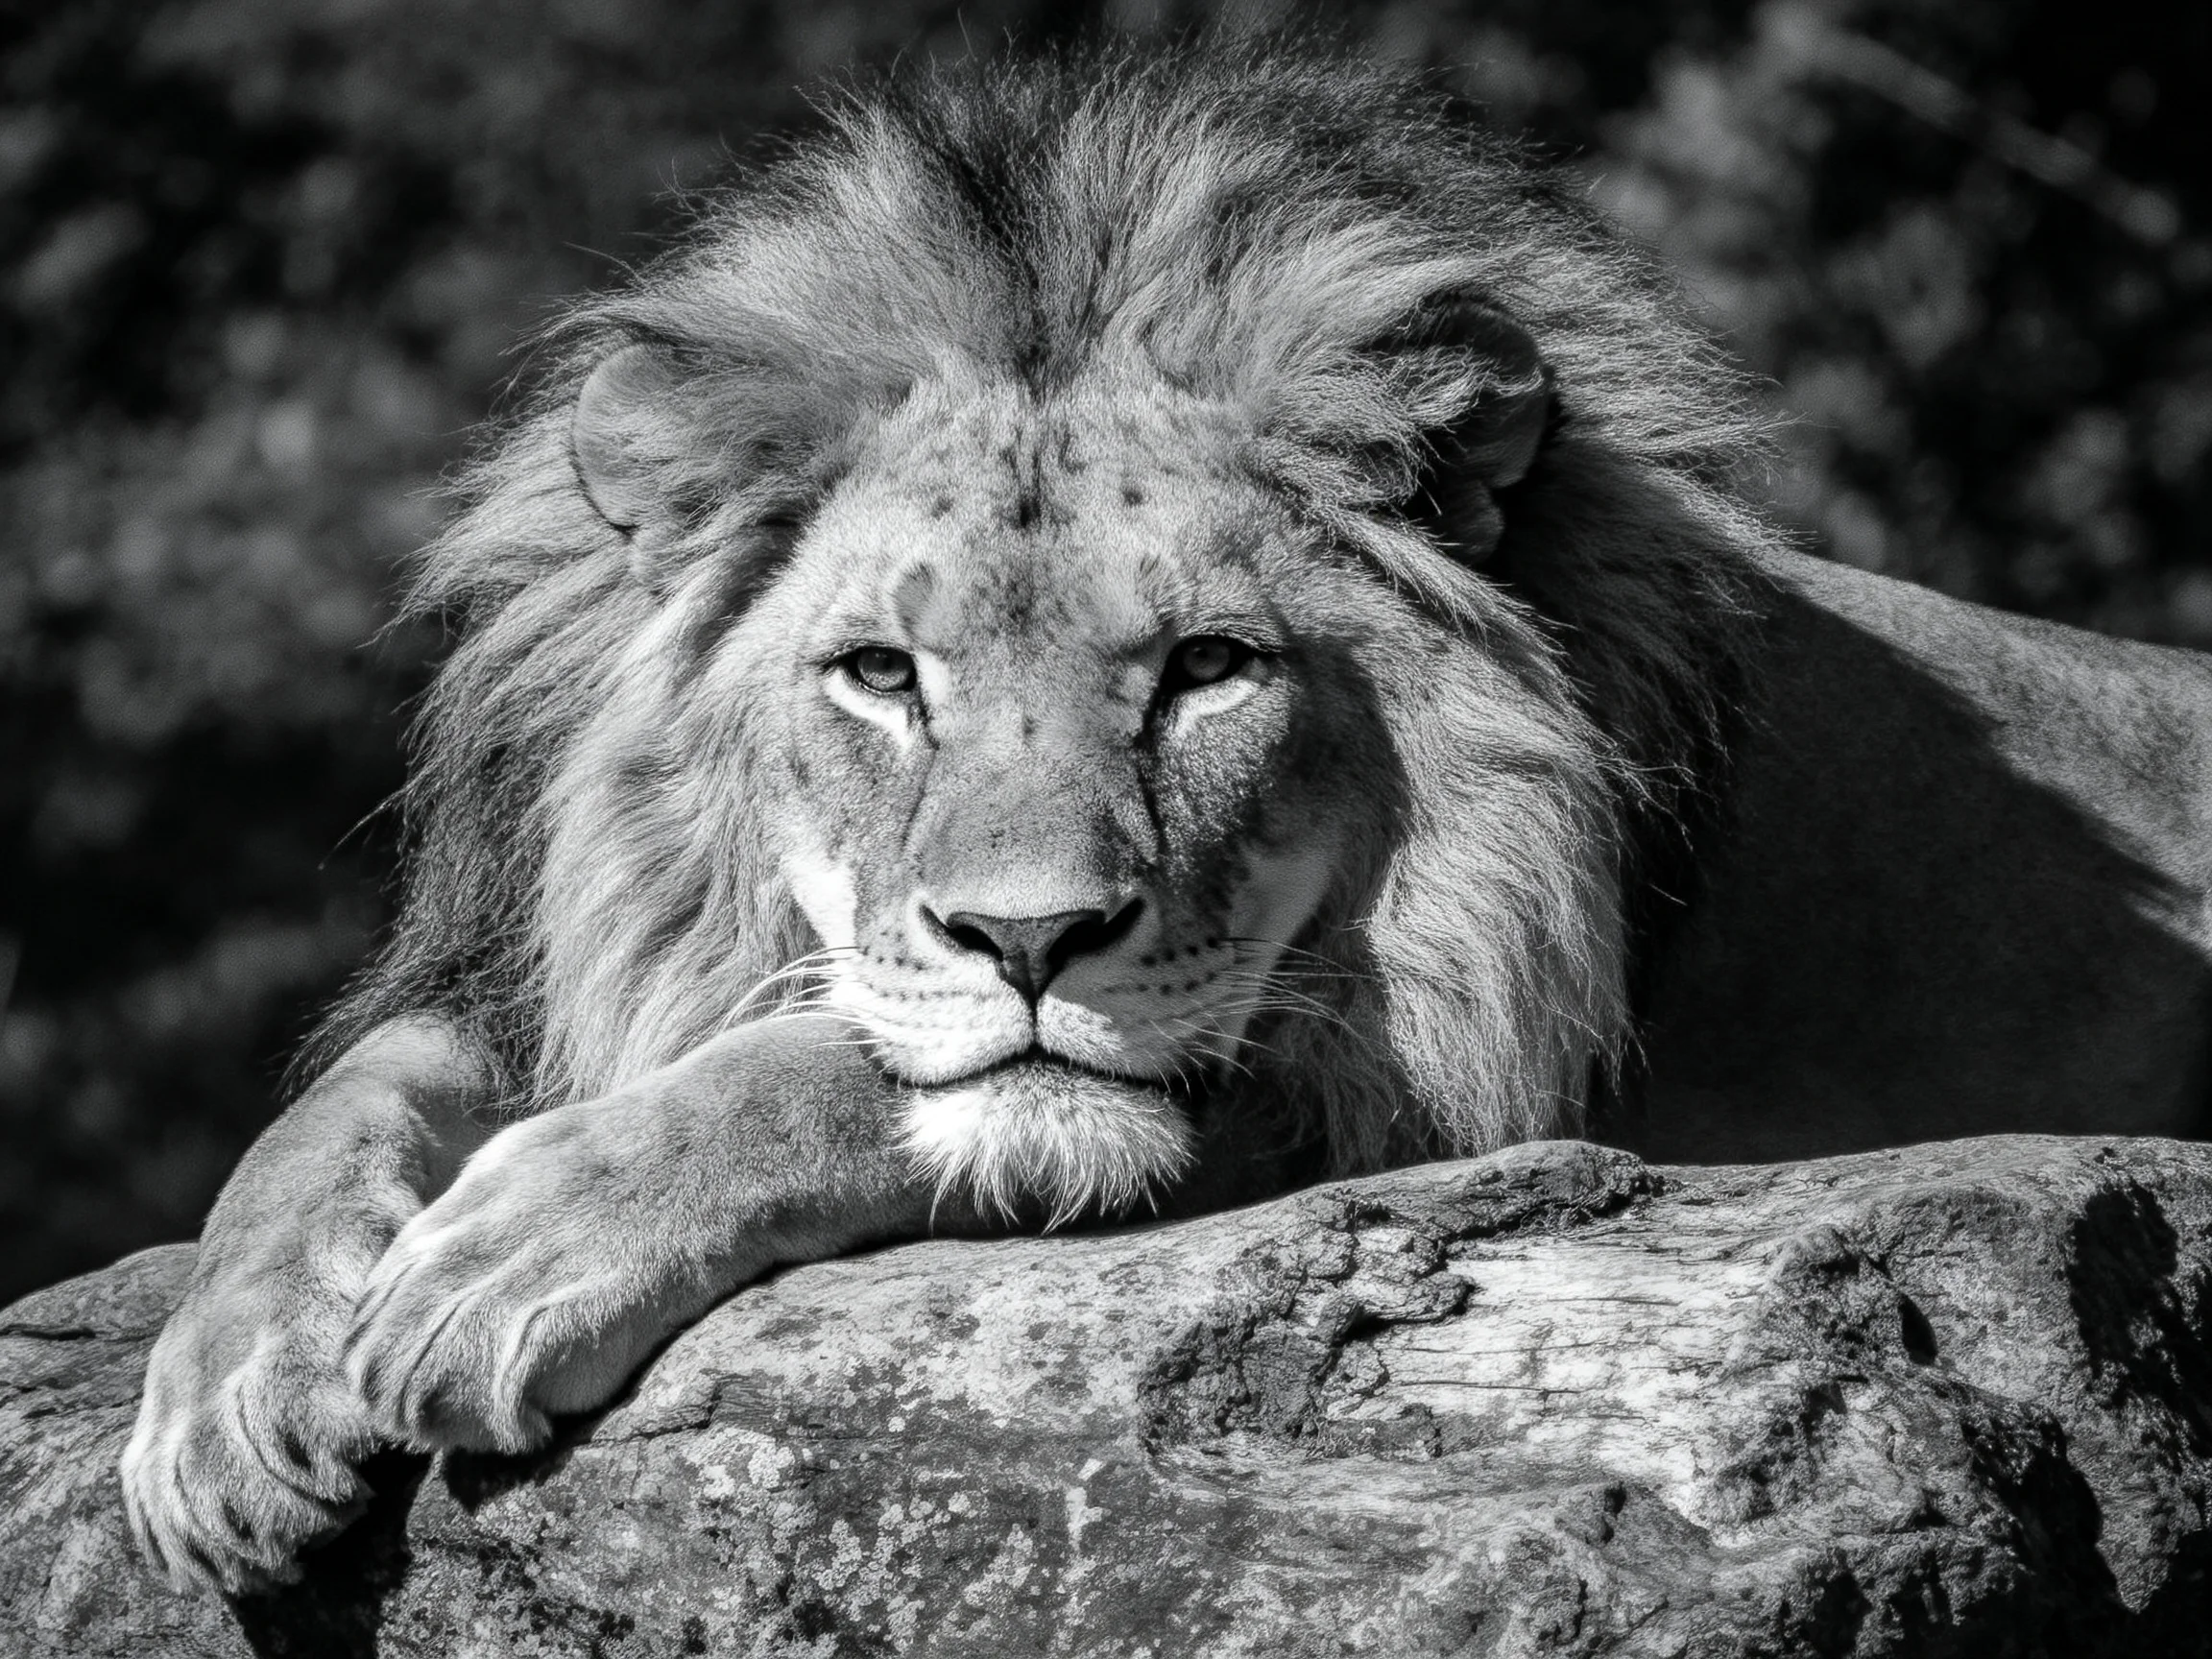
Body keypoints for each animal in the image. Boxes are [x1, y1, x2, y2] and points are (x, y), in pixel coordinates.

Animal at [119, 45, 2212, 1594]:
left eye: (1207, 668)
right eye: (880, 676)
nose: (1031, 940)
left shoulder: (1403, 1079)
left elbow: (845, 1068)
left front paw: (509, 1253)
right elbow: (329, 1108)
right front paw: (220, 1403)